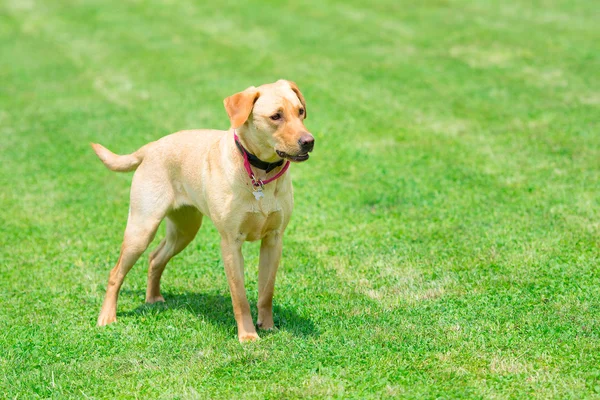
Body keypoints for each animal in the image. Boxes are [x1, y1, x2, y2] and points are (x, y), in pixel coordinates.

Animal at [91, 80, 314, 340]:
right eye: (276, 116)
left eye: (300, 111)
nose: (309, 141)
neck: (259, 173)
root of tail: (151, 147)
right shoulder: (231, 242)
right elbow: (240, 298)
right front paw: (248, 336)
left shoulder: (274, 239)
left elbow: (266, 291)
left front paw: (267, 326)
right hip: (142, 227)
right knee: (115, 273)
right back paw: (107, 317)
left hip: (185, 230)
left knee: (155, 258)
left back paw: (153, 299)